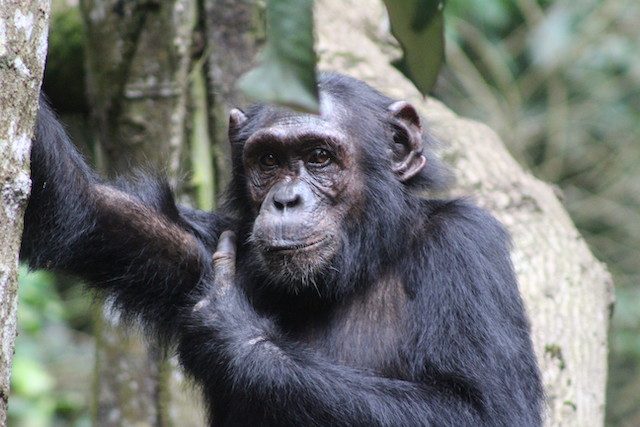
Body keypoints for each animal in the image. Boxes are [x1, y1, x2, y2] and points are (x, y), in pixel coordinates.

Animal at [20, 74, 544, 427]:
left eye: (319, 157)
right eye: (269, 160)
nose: (286, 199)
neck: (362, 262)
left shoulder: (467, 248)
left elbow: (484, 410)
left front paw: (233, 333)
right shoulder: (198, 247)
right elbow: (81, 209)